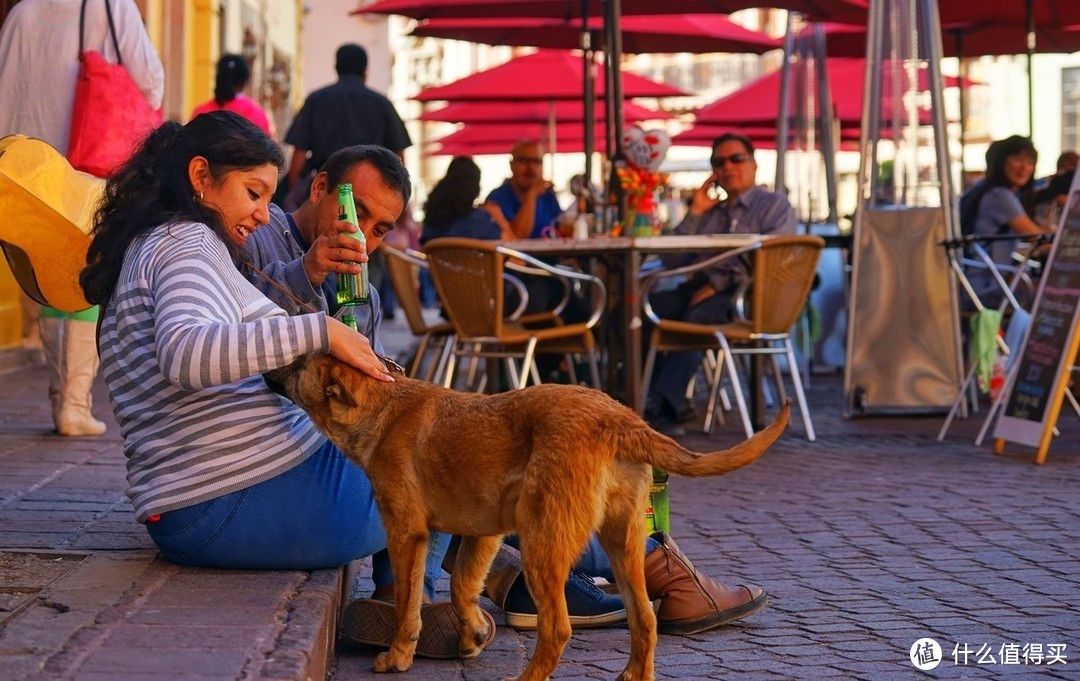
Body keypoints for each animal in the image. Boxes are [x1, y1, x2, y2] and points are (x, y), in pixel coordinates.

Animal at [261, 353, 786, 677]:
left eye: (298, 363)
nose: (266, 372)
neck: (383, 407)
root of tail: (620, 419)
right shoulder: (482, 532)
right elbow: (461, 585)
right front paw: (472, 633)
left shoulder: (407, 532)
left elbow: (408, 604)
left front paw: (398, 656)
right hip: (622, 543)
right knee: (644, 621)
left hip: (543, 543)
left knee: (558, 629)